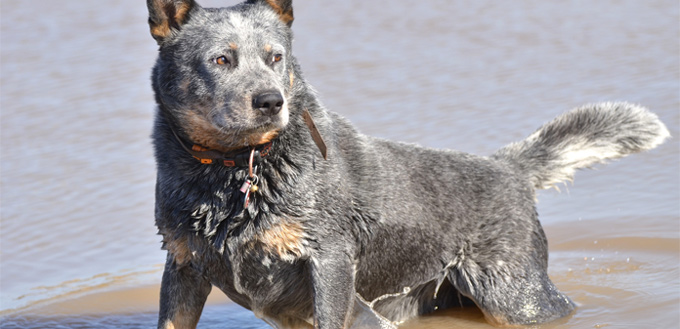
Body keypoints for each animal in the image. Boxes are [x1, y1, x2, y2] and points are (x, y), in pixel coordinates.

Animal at [145, 1, 668, 326]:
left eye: (275, 57)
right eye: (221, 59)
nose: (272, 101)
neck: (232, 171)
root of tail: (508, 170)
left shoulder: (330, 260)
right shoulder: (183, 265)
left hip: (516, 296)